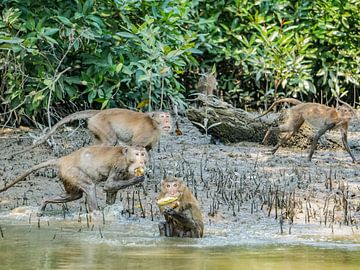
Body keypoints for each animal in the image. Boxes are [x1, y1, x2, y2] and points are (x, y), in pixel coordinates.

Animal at [0, 146, 148, 215]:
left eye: (143, 154)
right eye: (137, 154)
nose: (141, 160)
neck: (127, 158)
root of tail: (63, 159)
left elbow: (110, 192)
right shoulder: (119, 166)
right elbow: (108, 185)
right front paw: (138, 178)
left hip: (66, 175)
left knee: (75, 195)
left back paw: (44, 203)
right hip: (71, 171)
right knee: (89, 187)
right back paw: (95, 214)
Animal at [8, 109, 172, 157]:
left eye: (168, 116)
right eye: (163, 117)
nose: (168, 122)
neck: (155, 125)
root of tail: (99, 113)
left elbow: (147, 150)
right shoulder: (146, 131)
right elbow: (136, 146)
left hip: (94, 127)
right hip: (101, 124)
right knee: (110, 141)